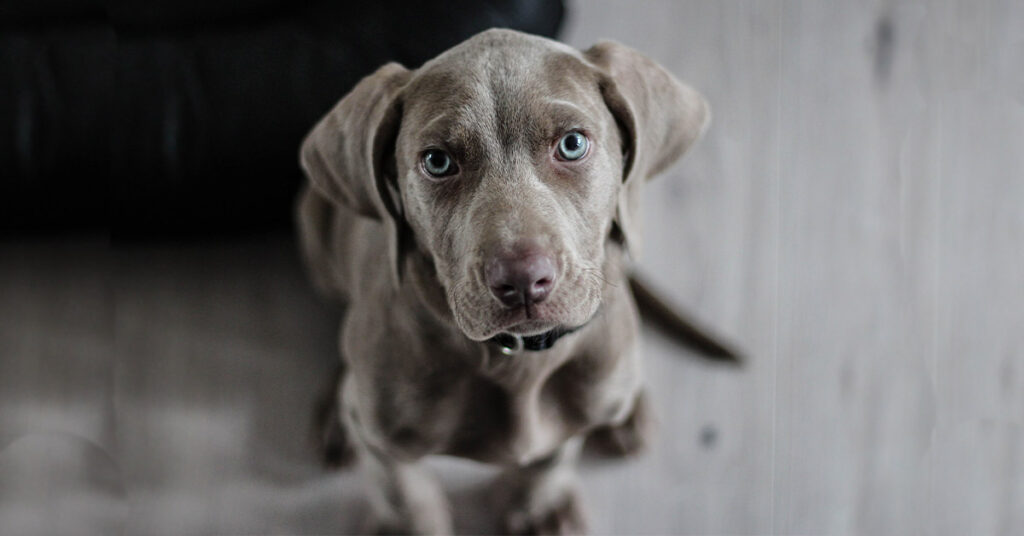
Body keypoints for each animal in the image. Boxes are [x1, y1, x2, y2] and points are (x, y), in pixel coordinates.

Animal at [296, 30, 712, 536]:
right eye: (437, 161)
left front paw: (540, 506)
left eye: (572, 144)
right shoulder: (383, 440)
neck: (516, 359)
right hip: (314, 227)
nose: (523, 281)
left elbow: (553, 455)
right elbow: (403, 492)